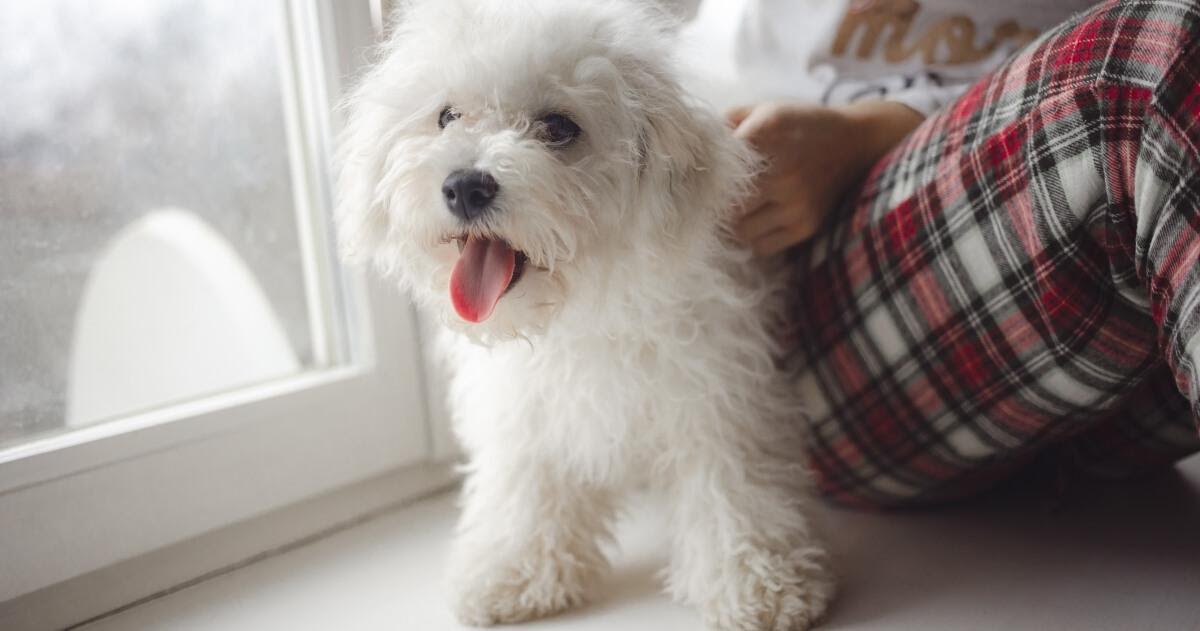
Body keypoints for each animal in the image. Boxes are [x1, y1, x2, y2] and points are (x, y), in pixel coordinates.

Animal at [333, 2, 830, 628]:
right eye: (447, 116)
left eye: (560, 127)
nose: (465, 186)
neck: (583, 307)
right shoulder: (526, 400)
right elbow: (528, 477)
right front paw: (516, 566)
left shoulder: (717, 382)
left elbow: (731, 479)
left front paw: (759, 580)